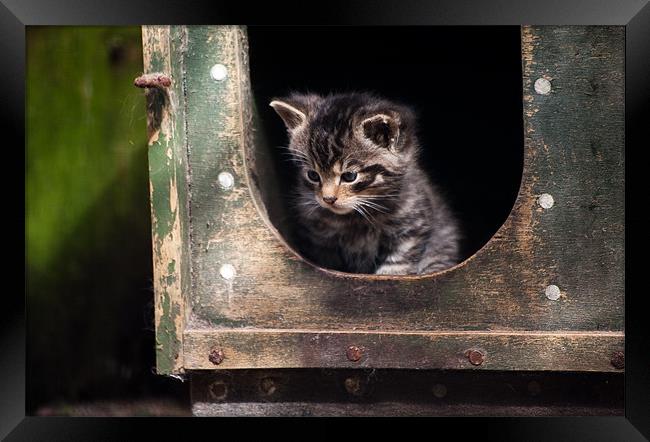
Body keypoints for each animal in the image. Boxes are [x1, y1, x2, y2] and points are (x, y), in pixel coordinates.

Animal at [268, 91, 460, 274]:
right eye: (313, 175)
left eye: (349, 176)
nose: (328, 199)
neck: (356, 218)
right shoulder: (318, 238)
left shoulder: (411, 230)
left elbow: (398, 266)